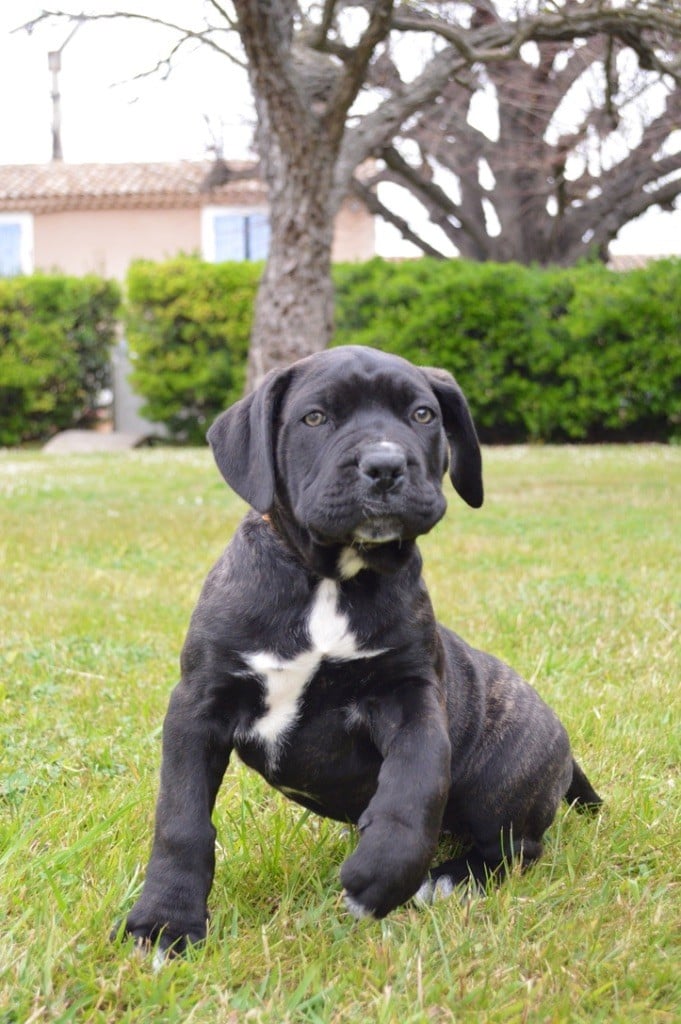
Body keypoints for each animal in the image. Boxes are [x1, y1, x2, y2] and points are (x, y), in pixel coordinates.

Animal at [118, 348, 602, 954]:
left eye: (422, 415)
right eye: (315, 418)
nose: (385, 464)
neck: (331, 577)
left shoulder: (410, 694)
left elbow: (416, 782)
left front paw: (382, 875)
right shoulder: (199, 703)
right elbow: (180, 818)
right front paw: (165, 921)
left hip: (500, 783)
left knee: (517, 848)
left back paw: (451, 879)